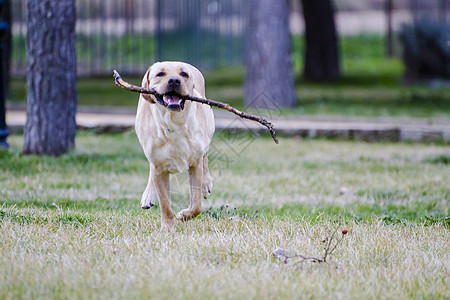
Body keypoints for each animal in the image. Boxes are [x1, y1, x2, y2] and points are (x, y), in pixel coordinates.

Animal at [134, 62, 215, 229]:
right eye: (160, 74)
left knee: (205, 157)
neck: (174, 123)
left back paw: (206, 184)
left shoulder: (195, 164)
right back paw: (148, 195)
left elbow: (196, 205)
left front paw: (184, 215)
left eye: (184, 74)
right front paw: (168, 228)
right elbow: (165, 204)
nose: (174, 81)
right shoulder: (159, 167)